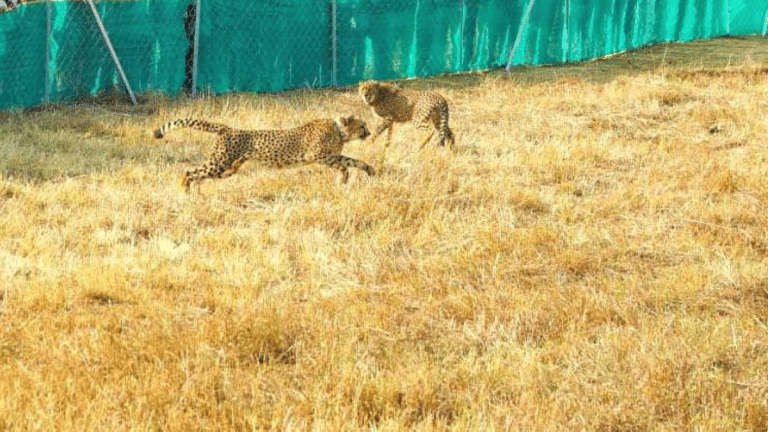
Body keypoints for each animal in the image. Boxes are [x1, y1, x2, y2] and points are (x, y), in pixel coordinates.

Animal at [153, 116, 375, 192]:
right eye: (362, 126)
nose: (370, 133)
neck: (339, 131)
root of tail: (228, 128)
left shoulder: (325, 158)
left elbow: (345, 164)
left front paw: (344, 180)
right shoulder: (317, 155)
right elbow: (349, 161)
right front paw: (367, 170)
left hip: (227, 169)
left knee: (199, 175)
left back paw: (196, 194)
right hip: (220, 163)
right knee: (189, 172)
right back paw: (184, 191)